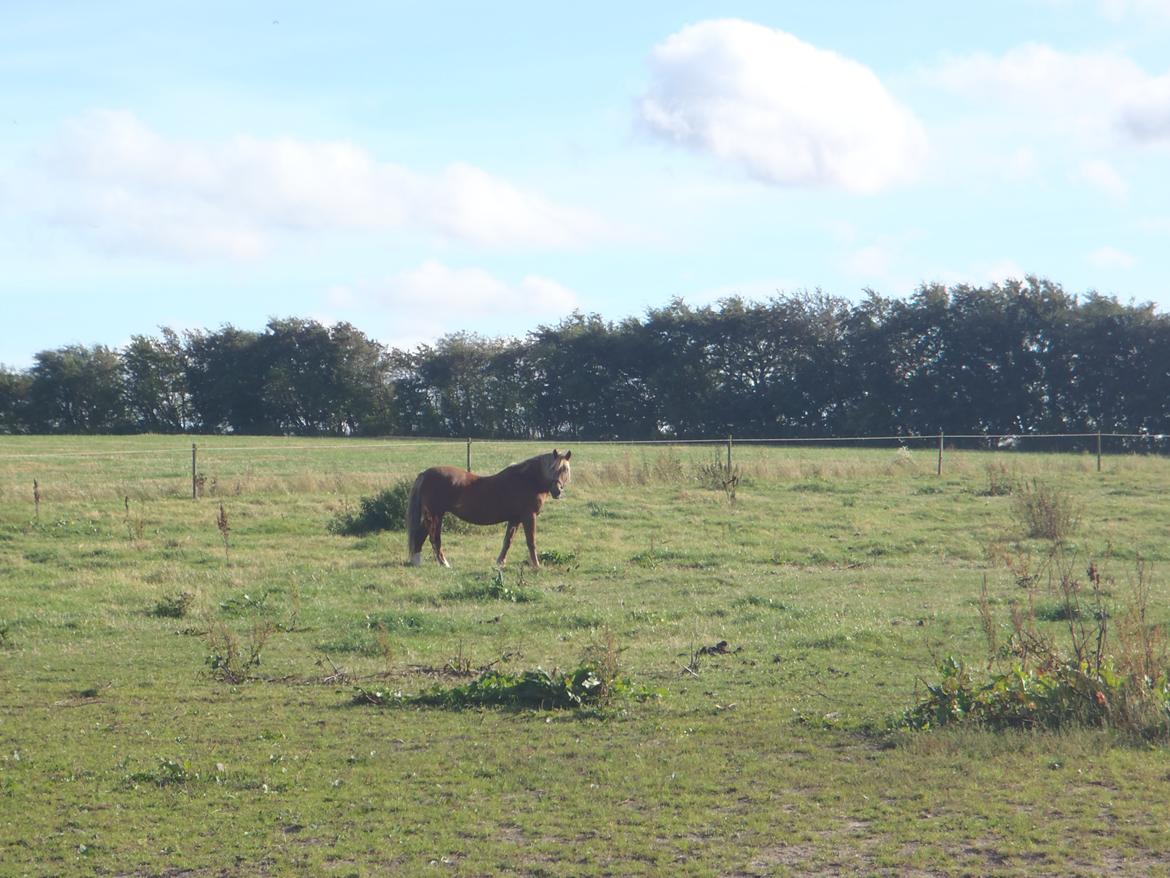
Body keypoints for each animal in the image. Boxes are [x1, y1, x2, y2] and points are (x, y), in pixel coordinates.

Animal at [407, 449, 570, 566]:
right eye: (553, 468)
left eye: (566, 470)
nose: (557, 491)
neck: (527, 480)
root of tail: (425, 474)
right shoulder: (529, 517)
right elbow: (531, 542)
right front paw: (536, 565)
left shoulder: (515, 519)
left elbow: (507, 541)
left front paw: (500, 562)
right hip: (436, 515)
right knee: (434, 538)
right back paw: (444, 563)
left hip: (432, 516)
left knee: (420, 536)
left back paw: (417, 562)